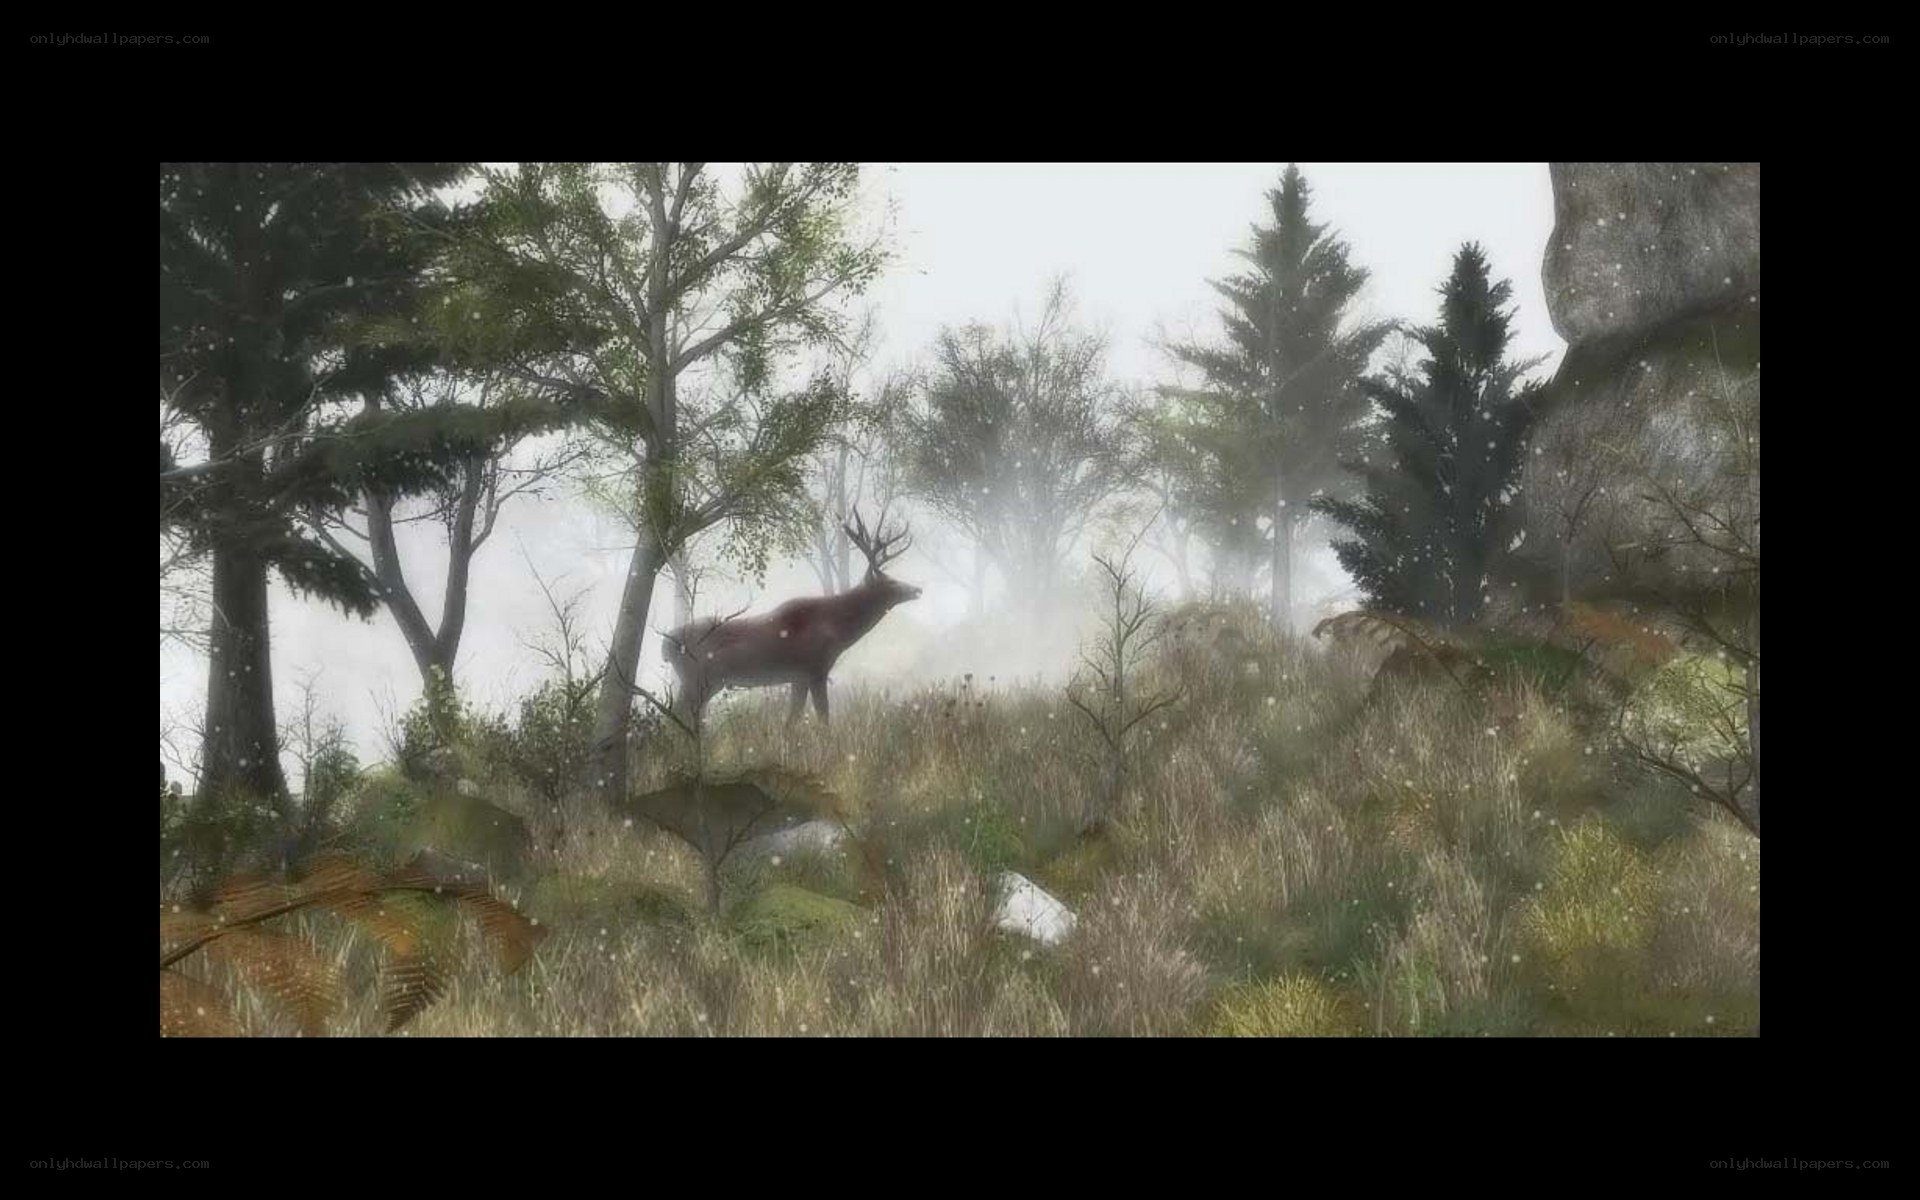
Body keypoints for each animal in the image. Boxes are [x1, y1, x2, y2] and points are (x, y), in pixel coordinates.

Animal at [662, 507, 921, 726]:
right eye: (889, 582)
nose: (916, 589)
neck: (836, 629)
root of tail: (666, 644)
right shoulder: (815, 668)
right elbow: (823, 717)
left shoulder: (798, 678)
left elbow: (791, 721)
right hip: (698, 678)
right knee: (677, 714)